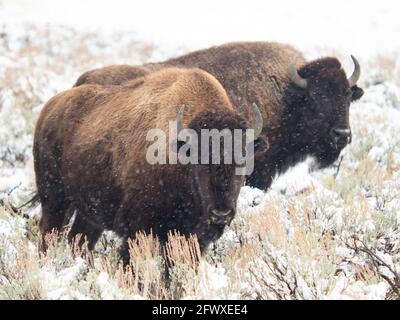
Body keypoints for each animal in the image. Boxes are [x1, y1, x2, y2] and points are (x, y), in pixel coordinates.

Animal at [34, 67, 262, 262]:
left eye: (243, 159)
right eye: (199, 161)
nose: (220, 214)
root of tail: (49, 109)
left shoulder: (192, 237)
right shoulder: (137, 229)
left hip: (88, 211)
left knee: (79, 239)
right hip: (54, 199)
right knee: (48, 234)